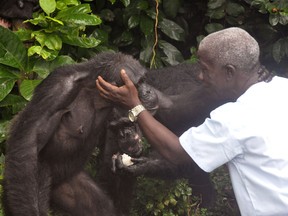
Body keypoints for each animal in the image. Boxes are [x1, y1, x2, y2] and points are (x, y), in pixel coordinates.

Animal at [2, 52, 169, 216]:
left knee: (102, 208)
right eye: (139, 83)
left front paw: (130, 143)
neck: (96, 94)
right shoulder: (57, 88)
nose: (149, 90)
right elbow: (31, 138)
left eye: (144, 80)